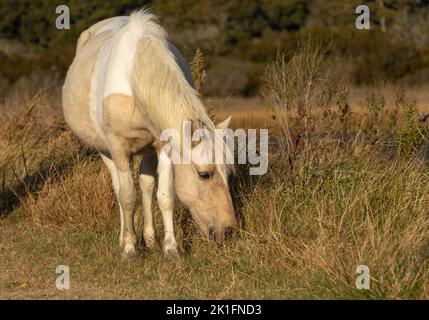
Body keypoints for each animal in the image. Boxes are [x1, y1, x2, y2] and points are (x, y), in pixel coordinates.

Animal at [62, 10, 237, 260]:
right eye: (205, 174)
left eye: (229, 174)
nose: (229, 231)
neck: (133, 77)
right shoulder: (119, 148)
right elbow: (127, 195)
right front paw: (129, 249)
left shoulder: (164, 147)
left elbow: (165, 196)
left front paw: (171, 249)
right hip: (105, 151)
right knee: (119, 187)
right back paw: (125, 238)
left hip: (147, 151)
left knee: (146, 186)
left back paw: (150, 239)